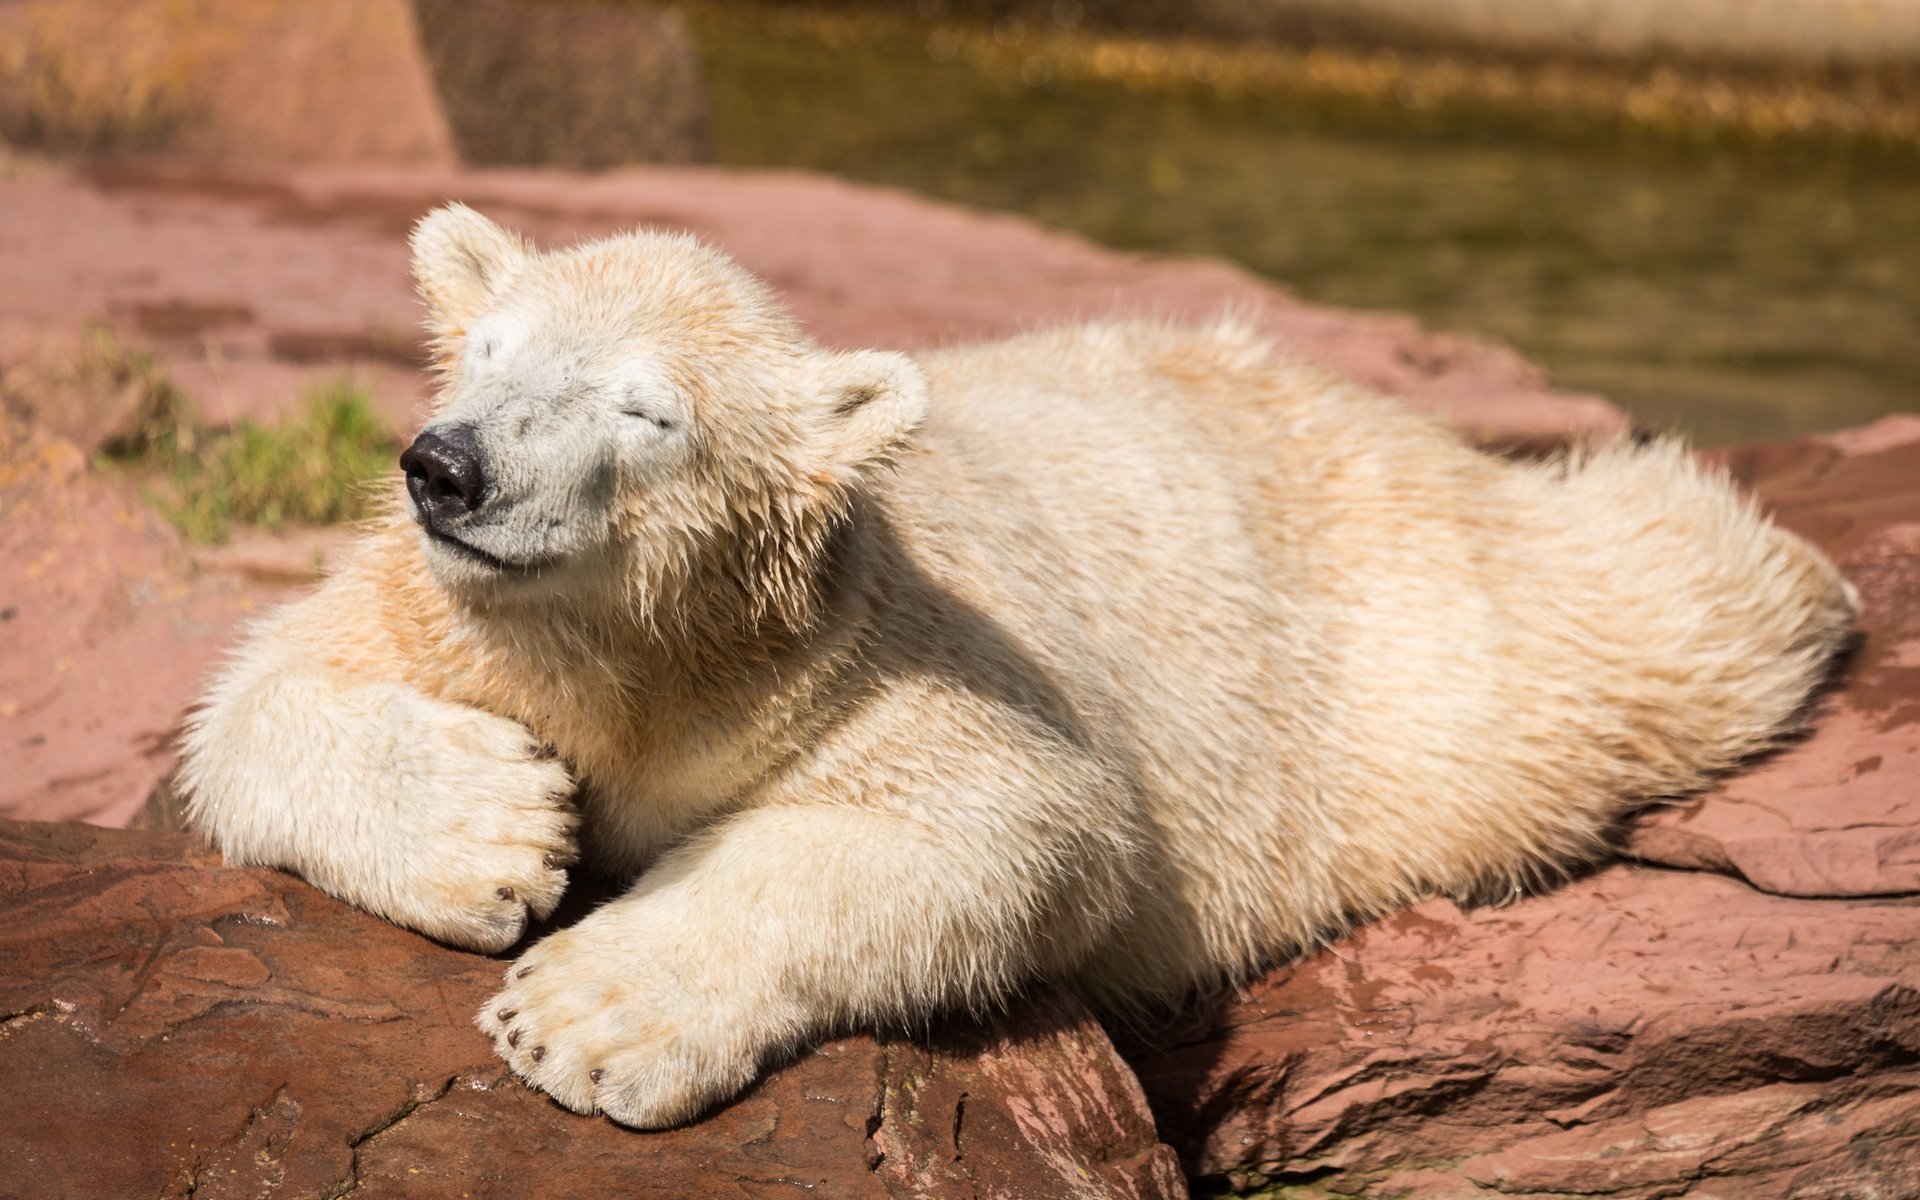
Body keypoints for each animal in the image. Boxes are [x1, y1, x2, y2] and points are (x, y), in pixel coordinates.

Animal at [180, 201, 1858, 1128]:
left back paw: (1803, 572)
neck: (659, 650)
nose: (446, 467)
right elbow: (251, 701)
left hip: (1411, 646)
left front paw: (584, 1017)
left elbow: (1014, 824)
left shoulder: (880, 652)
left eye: (645, 410)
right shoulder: (439, 608)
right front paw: (495, 828)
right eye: (486, 355)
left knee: (1614, 633)